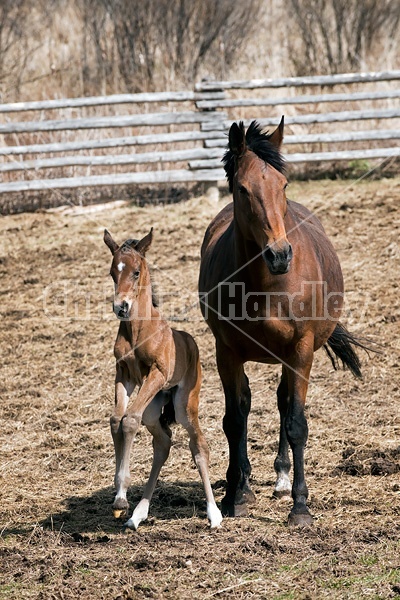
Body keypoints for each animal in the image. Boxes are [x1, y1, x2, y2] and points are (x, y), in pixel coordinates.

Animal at [103, 227, 222, 528]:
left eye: (136, 272)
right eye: (112, 272)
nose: (121, 306)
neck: (137, 330)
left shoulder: (156, 373)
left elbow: (129, 419)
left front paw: (120, 498)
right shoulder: (124, 374)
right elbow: (116, 419)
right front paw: (120, 499)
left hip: (183, 405)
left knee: (198, 445)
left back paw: (214, 513)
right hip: (154, 408)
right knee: (163, 443)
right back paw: (138, 514)